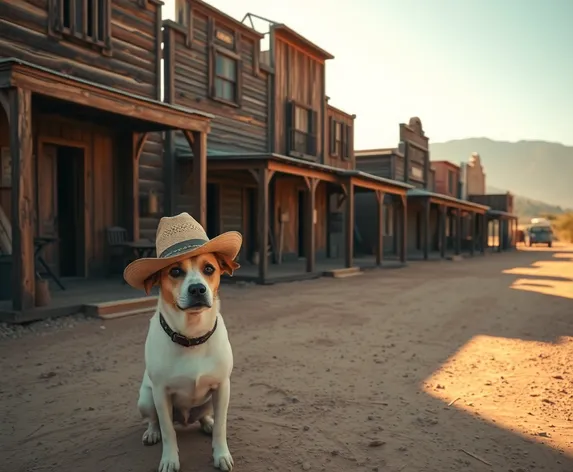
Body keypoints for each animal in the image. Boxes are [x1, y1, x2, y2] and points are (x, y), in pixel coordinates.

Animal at [123, 214, 241, 472]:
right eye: (175, 271)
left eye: (209, 269)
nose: (197, 289)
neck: (192, 336)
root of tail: (185, 419)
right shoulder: (161, 393)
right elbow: (168, 432)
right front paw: (169, 459)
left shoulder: (223, 387)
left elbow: (221, 427)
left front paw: (221, 454)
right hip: (146, 399)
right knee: (154, 421)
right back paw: (152, 433)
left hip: (208, 401)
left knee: (206, 417)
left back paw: (206, 423)